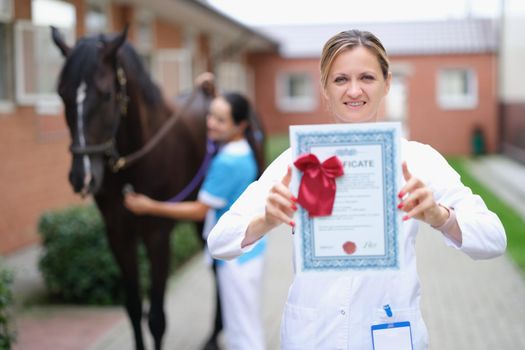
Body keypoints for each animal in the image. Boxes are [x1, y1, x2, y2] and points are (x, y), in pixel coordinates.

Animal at [53, 28, 223, 350]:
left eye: (107, 94)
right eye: (62, 94)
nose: (82, 177)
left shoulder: (157, 236)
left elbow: (156, 318)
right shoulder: (118, 236)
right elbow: (133, 308)